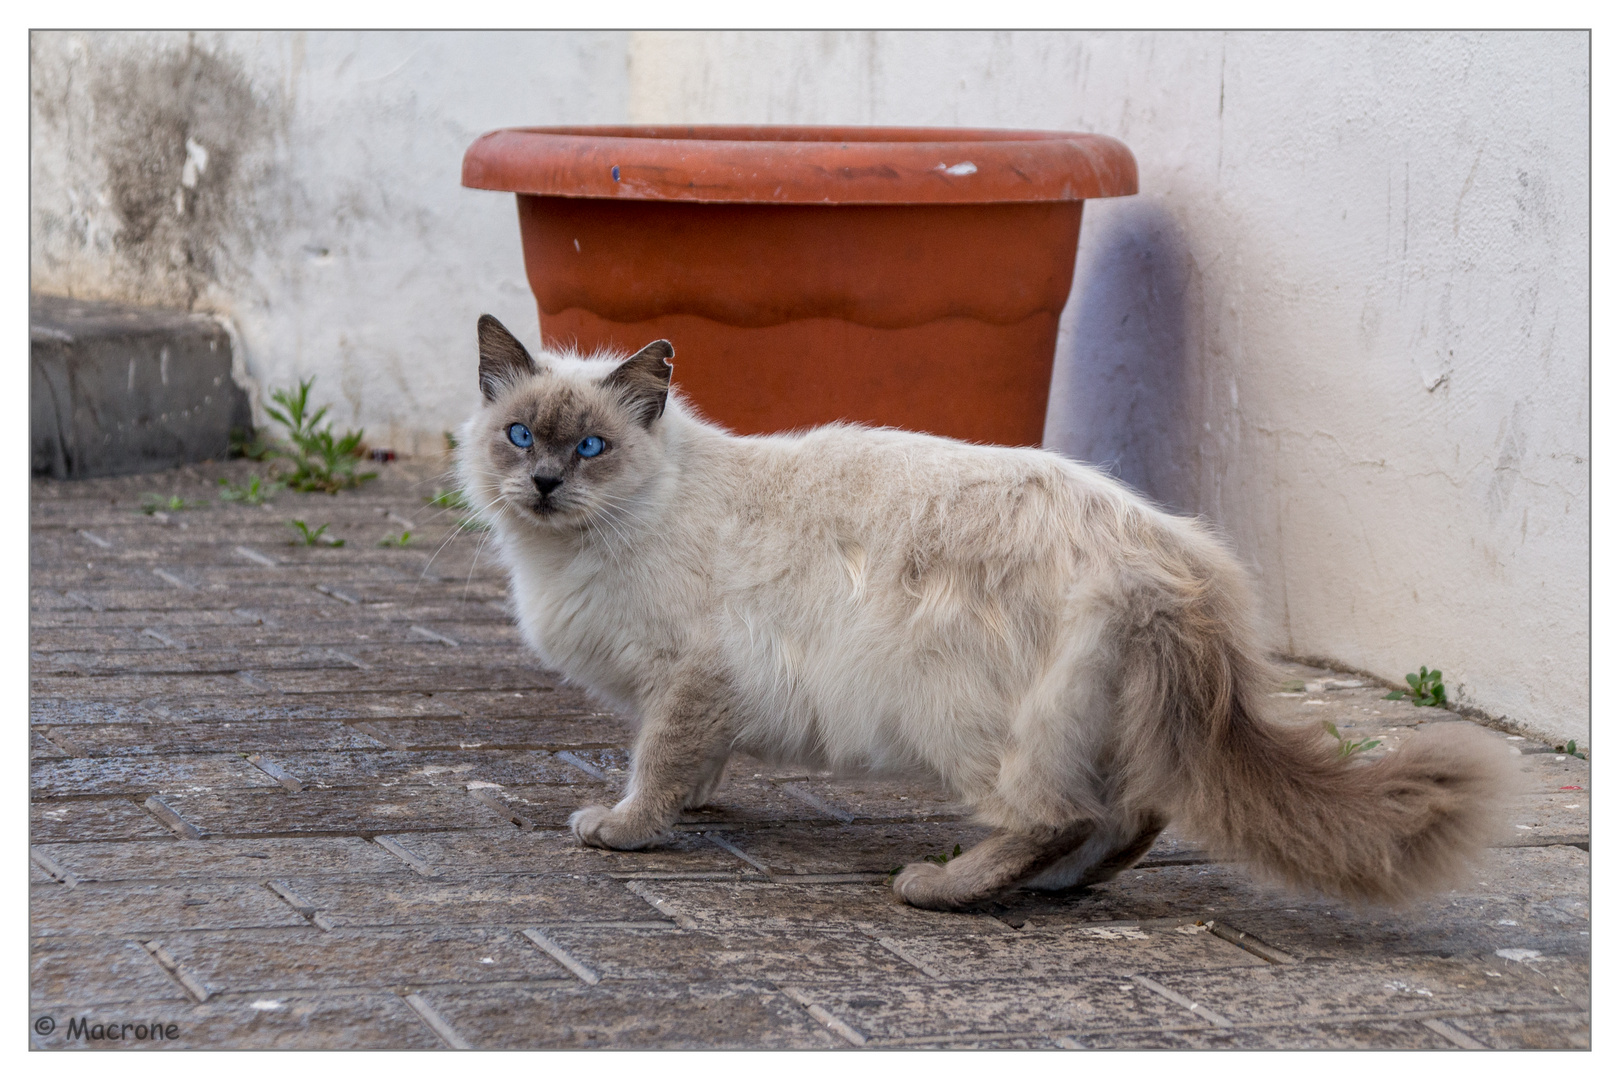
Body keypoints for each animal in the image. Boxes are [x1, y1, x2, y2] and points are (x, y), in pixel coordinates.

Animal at [460, 314, 1516, 913]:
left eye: (590, 448)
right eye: (518, 436)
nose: (545, 485)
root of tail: (1171, 554)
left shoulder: (688, 675)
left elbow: (656, 766)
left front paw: (626, 825)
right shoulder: (705, 690)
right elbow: (695, 760)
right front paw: (707, 800)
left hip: (956, 709)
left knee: (1057, 813)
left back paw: (941, 886)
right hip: (1088, 716)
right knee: (1130, 816)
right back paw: (1051, 888)